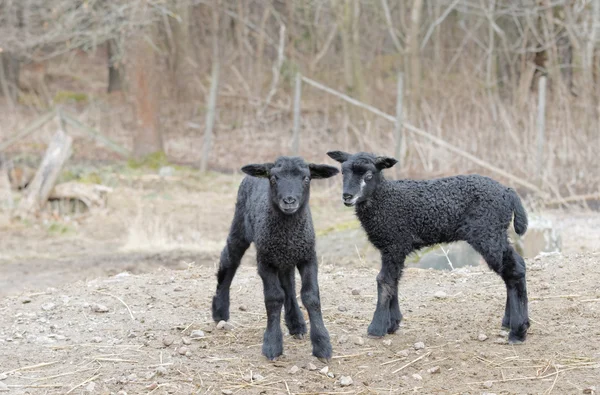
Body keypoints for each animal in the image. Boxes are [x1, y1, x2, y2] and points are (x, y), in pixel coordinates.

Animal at [211, 156, 338, 360]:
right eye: (273, 179)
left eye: (306, 178)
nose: (289, 200)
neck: (287, 233)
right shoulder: (265, 260)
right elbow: (273, 298)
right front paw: (272, 344)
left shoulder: (308, 256)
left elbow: (310, 296)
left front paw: (322, 344)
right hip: (240, 225)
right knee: (229, 260)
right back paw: (220, 311)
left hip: (286, 256)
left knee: (288, 283)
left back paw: (296, 323)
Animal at [328, 150, 528, 344]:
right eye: (343, 172)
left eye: (369, 175)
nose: (347, 196)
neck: (384, 200)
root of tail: (508, 192)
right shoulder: (394, 247)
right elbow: (394, 280)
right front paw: (393, 323)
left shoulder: (394, 242)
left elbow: (384, 281)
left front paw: (376, 328)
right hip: (497, 232)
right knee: (516, 266)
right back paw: (512, 322)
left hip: (487, 232)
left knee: (513, 270)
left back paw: (518, 331)